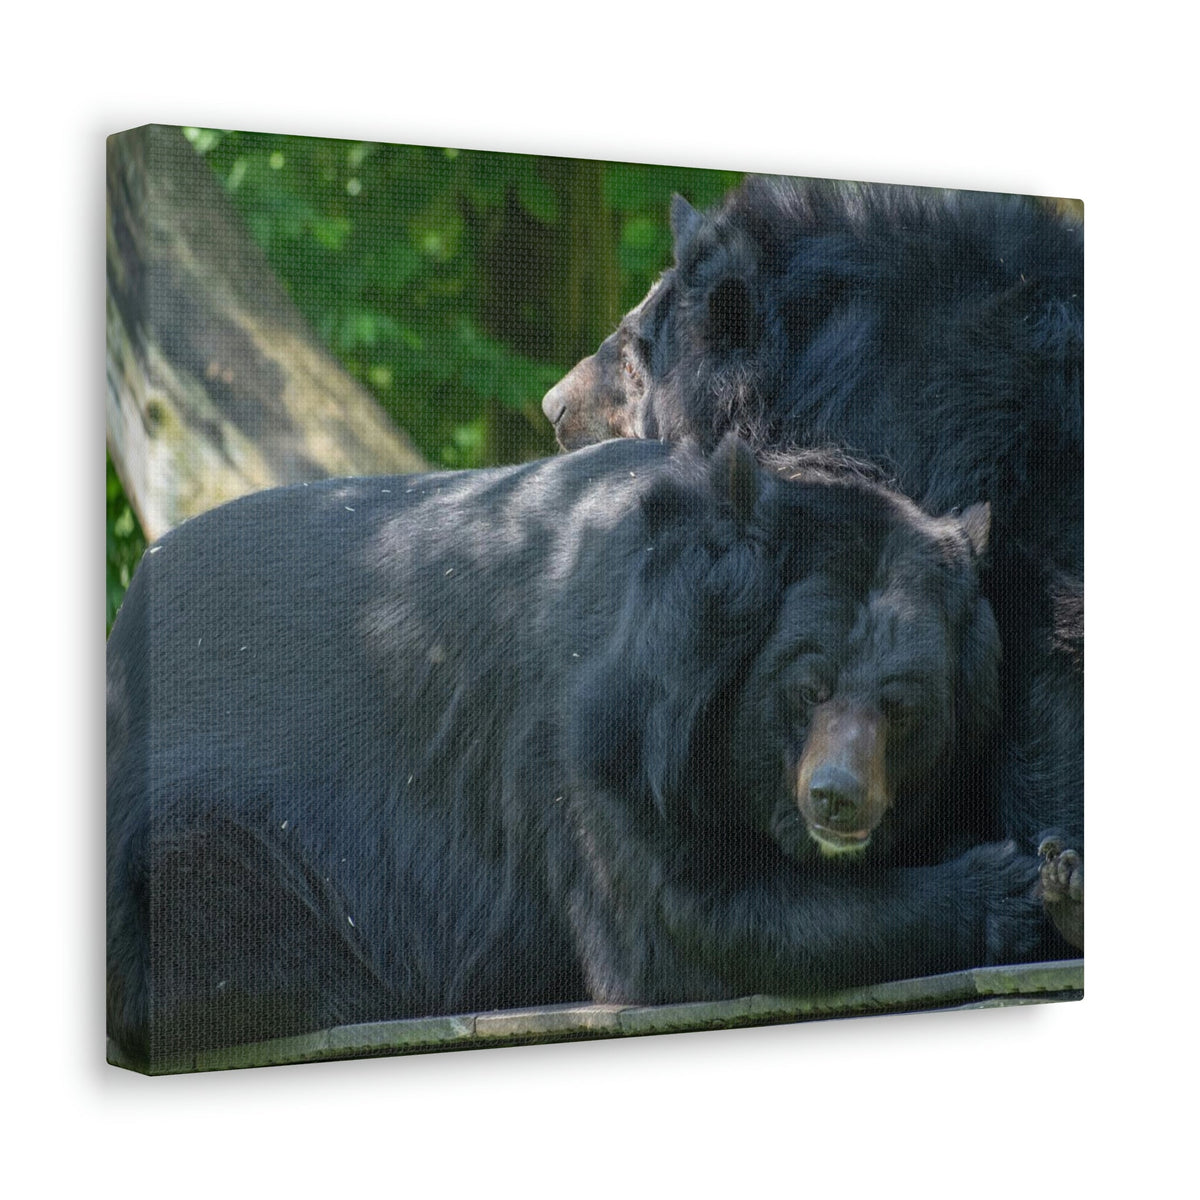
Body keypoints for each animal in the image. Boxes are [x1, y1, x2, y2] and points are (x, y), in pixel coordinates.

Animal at [107, 435, 1046, 1071]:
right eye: (806, 687)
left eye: (903, 707)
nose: (838, 797)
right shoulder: (594, 735)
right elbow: (682, 926)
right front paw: (1007, 888)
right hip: (212, 830)